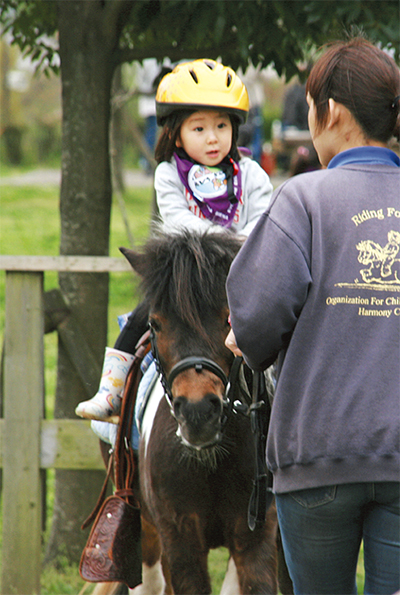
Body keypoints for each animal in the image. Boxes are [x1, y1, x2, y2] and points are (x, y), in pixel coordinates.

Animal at [97, 230, 292, 594]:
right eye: (156, 324)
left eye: (229, 318)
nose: (198, 412)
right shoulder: (180, 539)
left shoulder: (256, 537)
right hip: (146, 529)